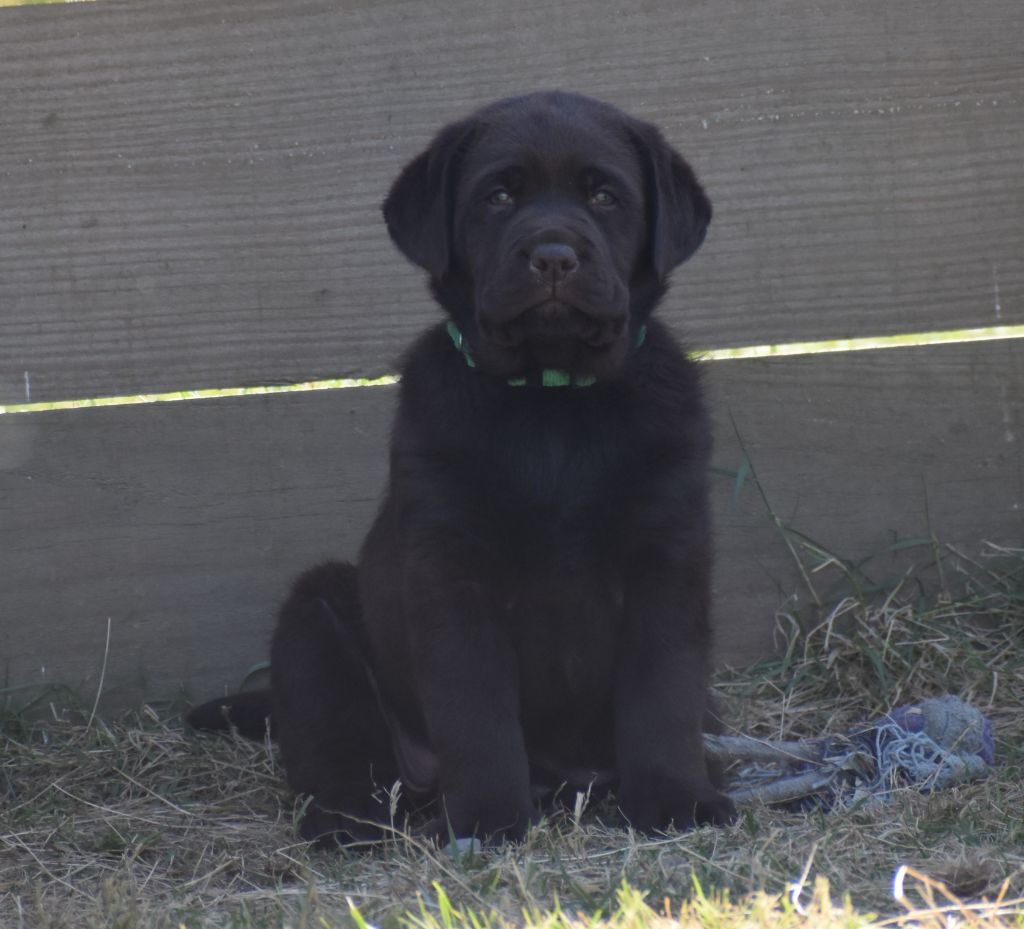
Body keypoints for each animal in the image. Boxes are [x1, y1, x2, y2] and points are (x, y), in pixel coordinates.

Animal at [188, 91, 737, 845]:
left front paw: (676, 799)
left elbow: (663, 693)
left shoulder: (667, 557)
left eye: (604, 196)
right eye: (498, 196)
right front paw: (488, 818)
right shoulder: (450, 572)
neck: (550, 402)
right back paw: (347, 820)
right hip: (316, 617)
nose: (553, 256)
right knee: (336, 743)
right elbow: (476, 711)